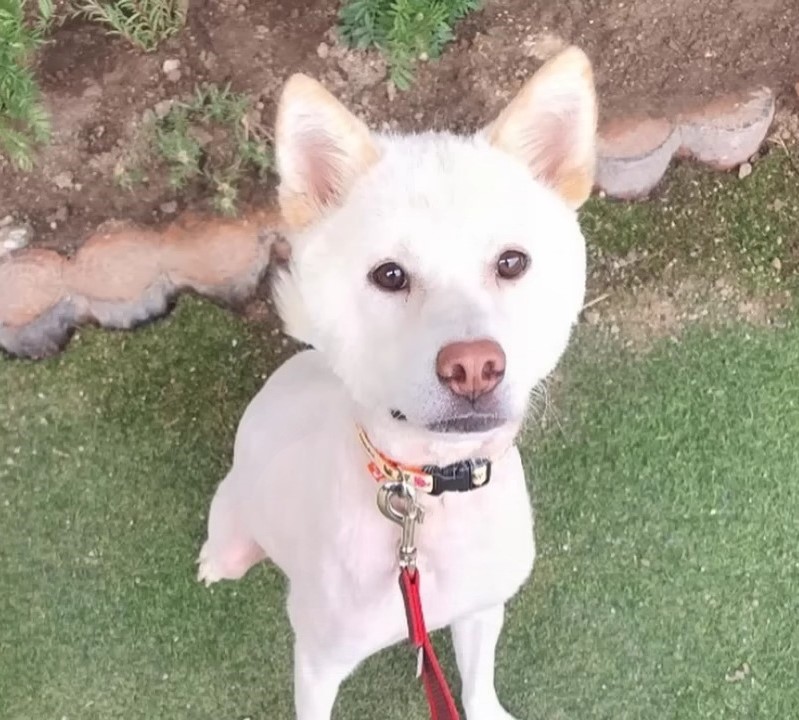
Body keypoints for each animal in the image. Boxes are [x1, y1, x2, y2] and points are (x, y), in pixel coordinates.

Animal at [198, 46, 596, 720]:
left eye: (512, 262)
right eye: (389, 275)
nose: (473, 365)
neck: (428, 499)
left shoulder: (481, 611)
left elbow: (478, 686)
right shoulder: (318, 661)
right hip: (235, 517)